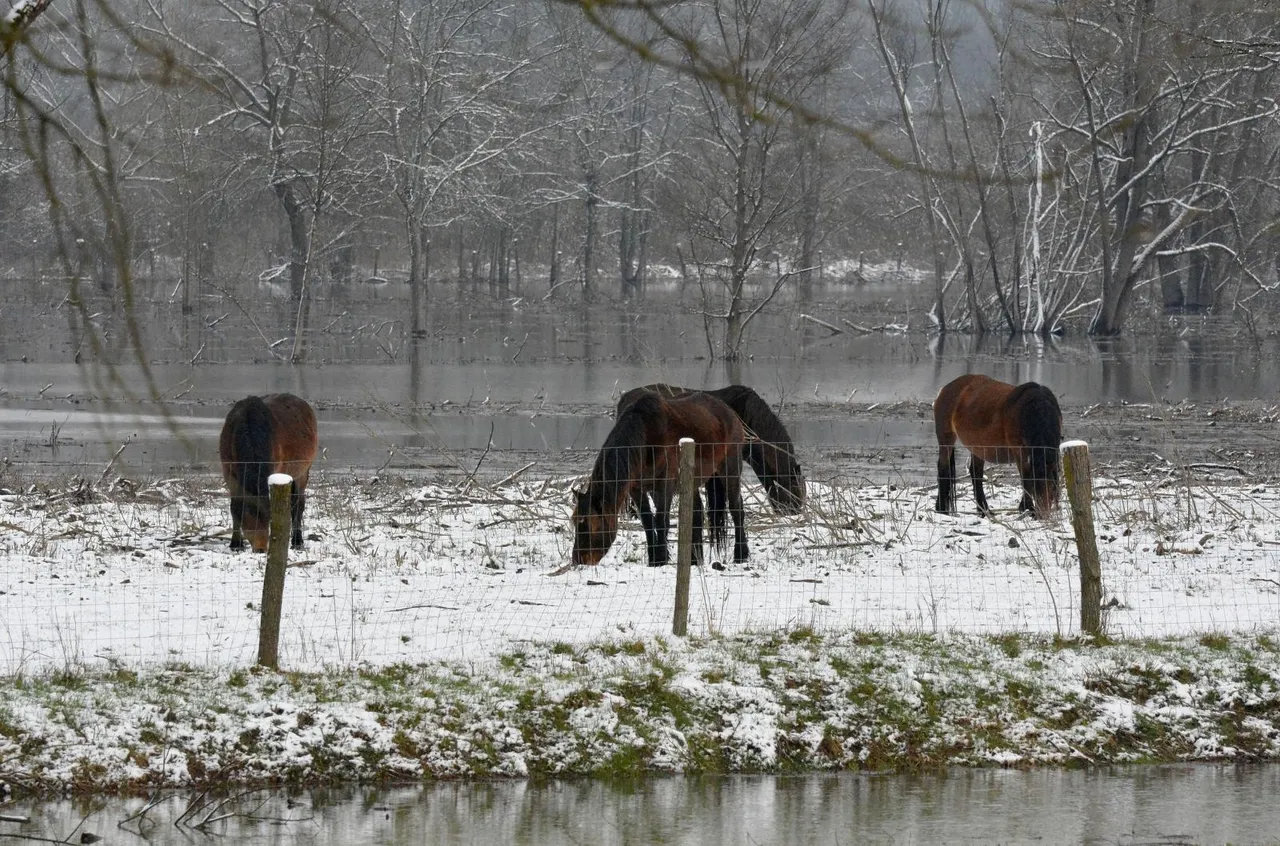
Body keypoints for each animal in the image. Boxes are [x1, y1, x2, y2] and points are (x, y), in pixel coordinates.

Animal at [220, 391, 320, 550]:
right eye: (248, 522)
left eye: (269, 520)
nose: (261, 549)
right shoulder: (229, 473)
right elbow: (234, 507)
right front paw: (236, 544)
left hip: (302, 473)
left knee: (298, 505)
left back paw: (297, 541)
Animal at [573, 391, 747, 568]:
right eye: (575, 522)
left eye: (590, 524)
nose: (578, 560)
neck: (645, 438)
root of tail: (729, 412)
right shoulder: (637, 489)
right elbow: (647, 522)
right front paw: (653, 559)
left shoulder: (665, 484)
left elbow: (661, 520)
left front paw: (661, 558)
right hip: (693, 480)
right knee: (697, 513)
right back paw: (694, 559)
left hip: (730, 470)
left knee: (736, 508)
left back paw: (741, 555)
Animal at [936, 373, 1064, 517]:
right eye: (1036, 486)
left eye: (1053, 487)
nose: (1043, 515)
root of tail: (945, 389)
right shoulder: (1019, 452)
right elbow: (1025, 479)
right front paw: (1027, 509)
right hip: (946, 438)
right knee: (943, 468)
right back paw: (942, 509)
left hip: (978, 447)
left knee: (976, 473)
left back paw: (984, 510)